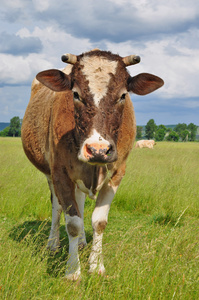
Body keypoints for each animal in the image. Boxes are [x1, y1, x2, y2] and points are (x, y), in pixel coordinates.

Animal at [21, 48, 163, 280]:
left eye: (123, 95)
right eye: (76, 94)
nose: (98, 149)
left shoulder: (117, 173)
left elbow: (99, 221)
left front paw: (96, 266)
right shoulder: (60, 173)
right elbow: (72, 223)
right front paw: (73, 271)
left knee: (79, 201)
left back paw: (81, 244)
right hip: (50, 174)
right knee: (56, 207)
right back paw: (53, 244)